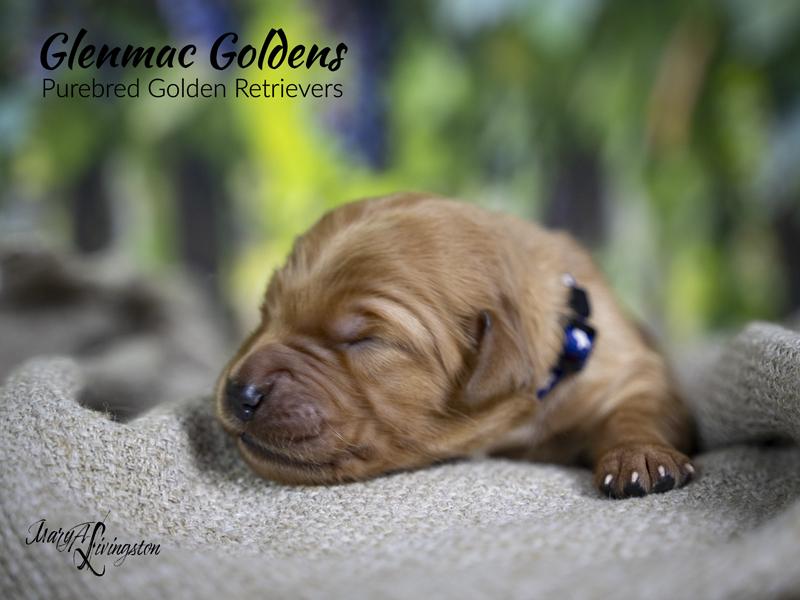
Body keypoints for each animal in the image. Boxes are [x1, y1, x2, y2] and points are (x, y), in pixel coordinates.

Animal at [216, 193, 696, 498]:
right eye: (266, 310)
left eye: (363, 340)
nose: (240, 392)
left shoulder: (630, 369)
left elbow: (638, 409)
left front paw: (639, 456)